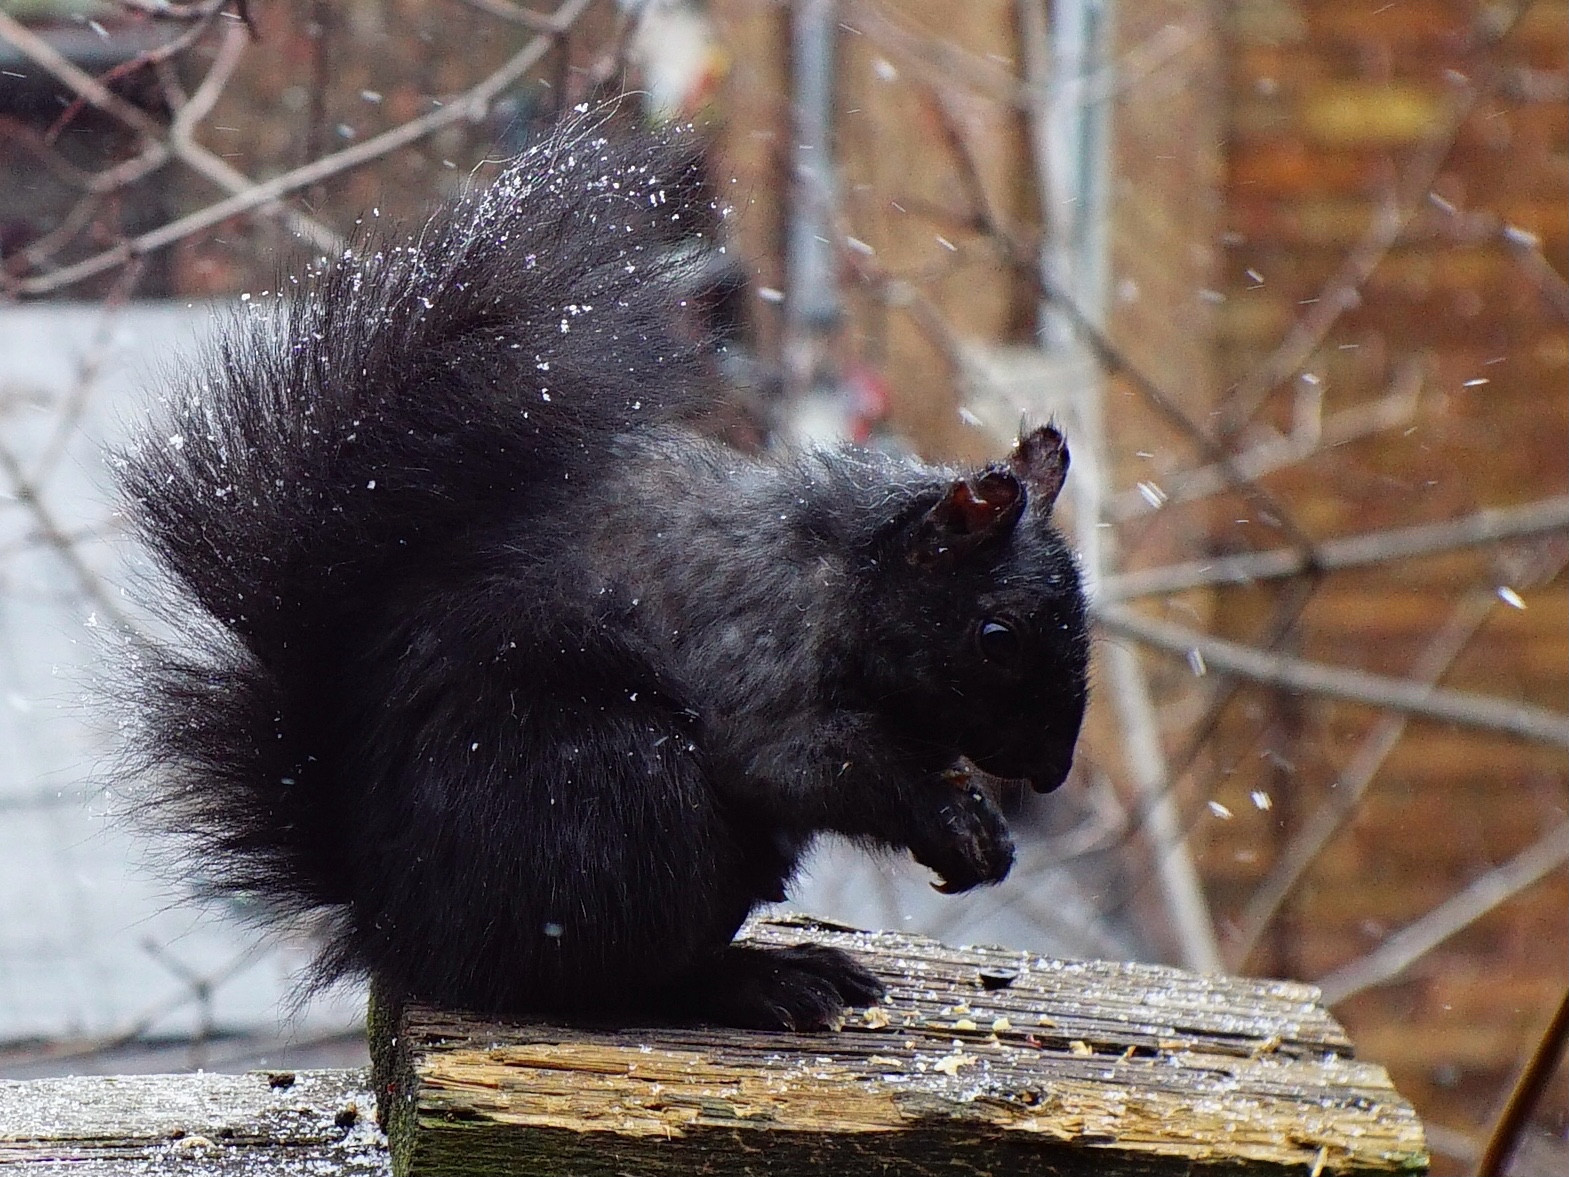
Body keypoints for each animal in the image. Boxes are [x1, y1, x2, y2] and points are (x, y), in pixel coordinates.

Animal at [119, 127, 1092, 1029]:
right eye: (996, 637)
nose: (1050, 773)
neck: (841, 578)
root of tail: (396, 921)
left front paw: (983, 828)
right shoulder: (757, 655)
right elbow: (802, 761)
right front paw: (950, 823)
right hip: (614, 799)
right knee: (611, 976)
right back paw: (758, 979)